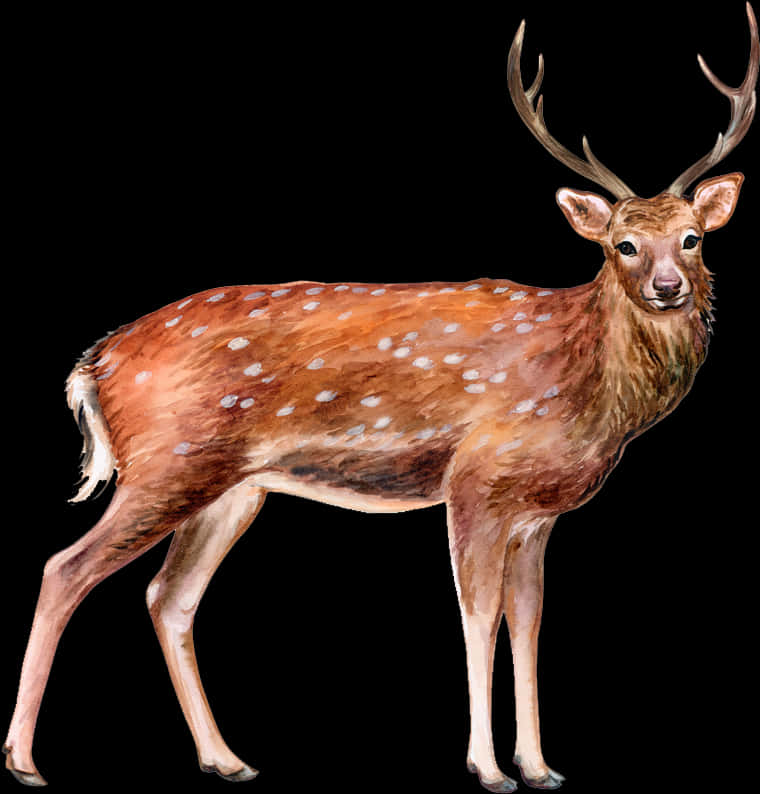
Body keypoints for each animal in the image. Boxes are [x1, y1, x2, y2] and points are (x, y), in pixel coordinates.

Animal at [4, 5, 757, 792]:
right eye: (622, 245)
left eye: (693, 238)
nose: (668, 287)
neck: (588, 389)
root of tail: (96, 363)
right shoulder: (477, 482)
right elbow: (479, 616)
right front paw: (489, 768)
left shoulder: (539, 511)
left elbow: (529, 622)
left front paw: (540, 766)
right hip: (166, 463)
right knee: (66, 569)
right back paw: (24, 761)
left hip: (231, 487)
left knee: (168, 597)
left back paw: (227, 759)